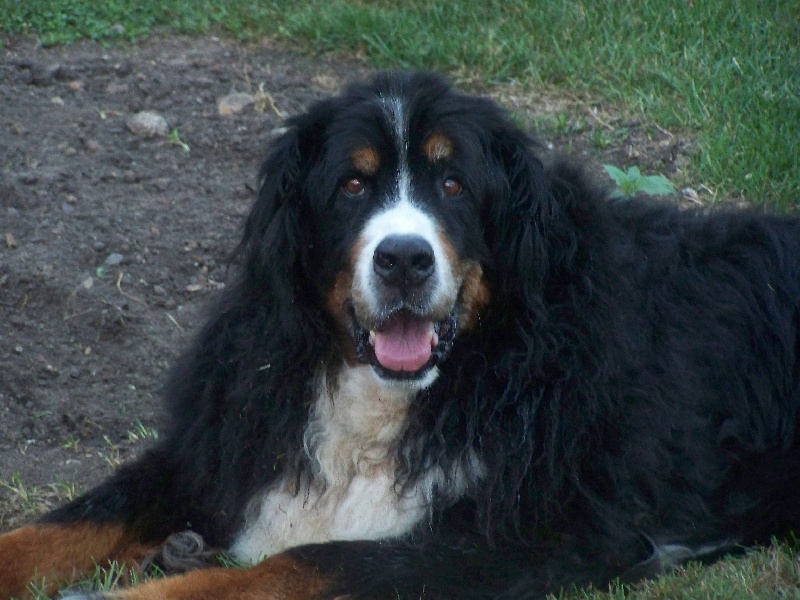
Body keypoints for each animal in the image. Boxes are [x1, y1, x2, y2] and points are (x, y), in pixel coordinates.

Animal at [1, 70, 799, 599]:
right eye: (353, 185)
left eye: (454, 183)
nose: (405, 259)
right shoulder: (220, 443)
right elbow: (68, 522)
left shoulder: (517, 536)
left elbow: (299, 564)